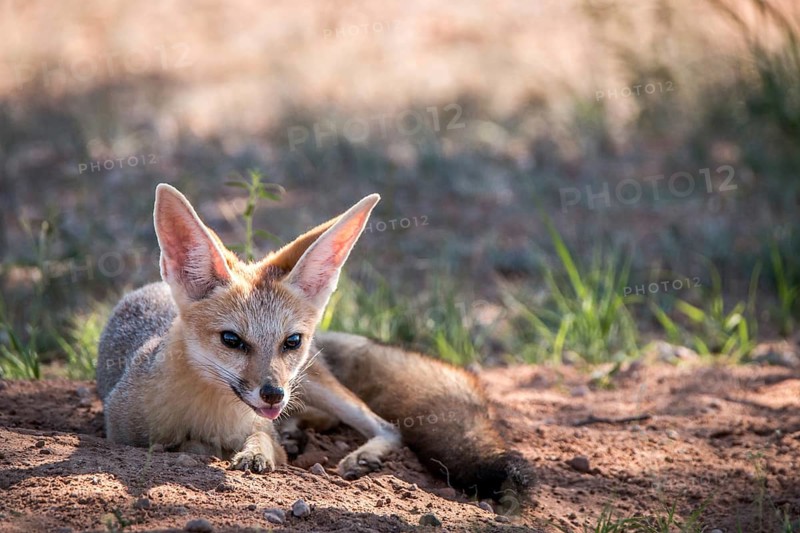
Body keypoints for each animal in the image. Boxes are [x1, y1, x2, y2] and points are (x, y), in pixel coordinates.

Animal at [96, 183, 531, 504]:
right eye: (232, 340)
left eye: (291, 341)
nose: (272, 394)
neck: (210, 415)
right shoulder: (121, 433)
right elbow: (181, 444)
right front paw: (207, 447)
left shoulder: (263, 419)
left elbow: (263, 441)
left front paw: (254, 453)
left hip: (318, 386)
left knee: (388, 427)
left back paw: (358, 454)